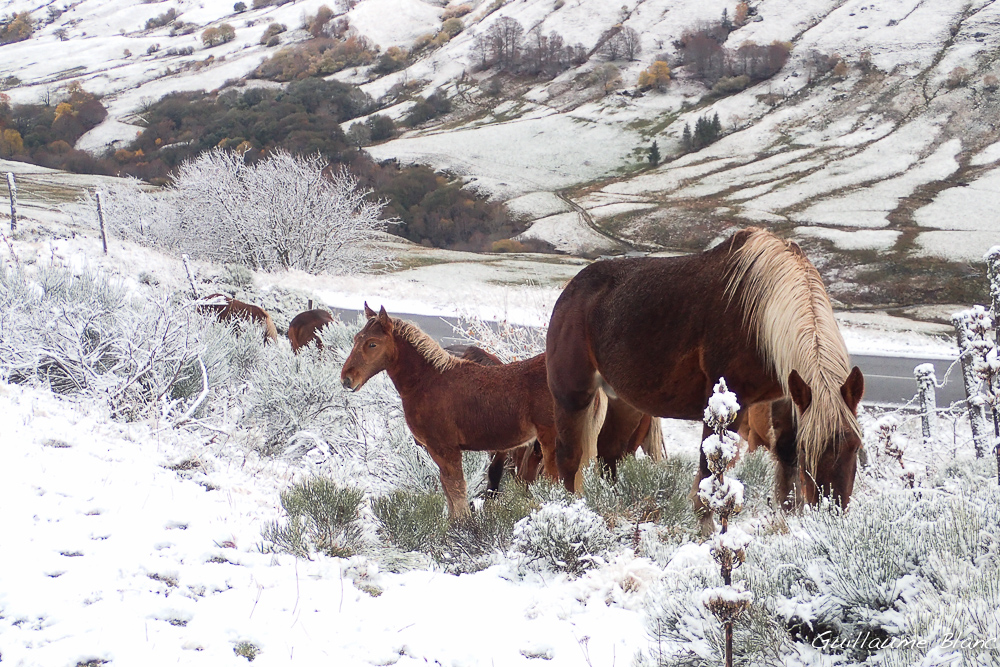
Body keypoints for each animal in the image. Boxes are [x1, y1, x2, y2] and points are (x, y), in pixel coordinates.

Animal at [342, 306, 608, 520]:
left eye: (372, 344)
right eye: (356, 338)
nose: (347, 379)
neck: (428, 381)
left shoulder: (445, 448)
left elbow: (456, 490)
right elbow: (450, 491)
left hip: (550, 442)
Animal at [544, 227, 864, 528]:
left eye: (854, 446)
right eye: (810, 449)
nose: (831, 512)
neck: (759, 313)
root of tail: (571, 290)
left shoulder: (787, 395)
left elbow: (785, 456)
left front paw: (788, 514)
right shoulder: (724, 404)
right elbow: (710, 473)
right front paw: (706, 529)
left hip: (623, 405)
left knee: (608, 458)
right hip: (571, 397)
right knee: (569, 460)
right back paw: (570, 511)